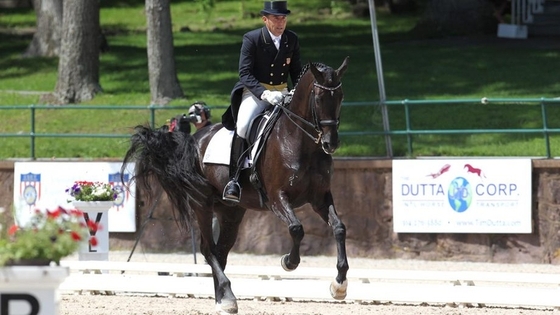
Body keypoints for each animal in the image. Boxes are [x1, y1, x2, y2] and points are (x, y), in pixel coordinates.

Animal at [123, 56, 350, 314]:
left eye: (340, 96)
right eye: (319, 98)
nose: (331, 143)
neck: (300, 141)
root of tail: (194, 139)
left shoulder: (320, 197)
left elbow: (339, 228)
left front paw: (339, 285)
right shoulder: (277, 197)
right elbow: (296, 228)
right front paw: (288, 262)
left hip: (231, 211)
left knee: (220, 251)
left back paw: (223, 298)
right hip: (201, 203)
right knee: (207, 249)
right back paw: (227, 297)